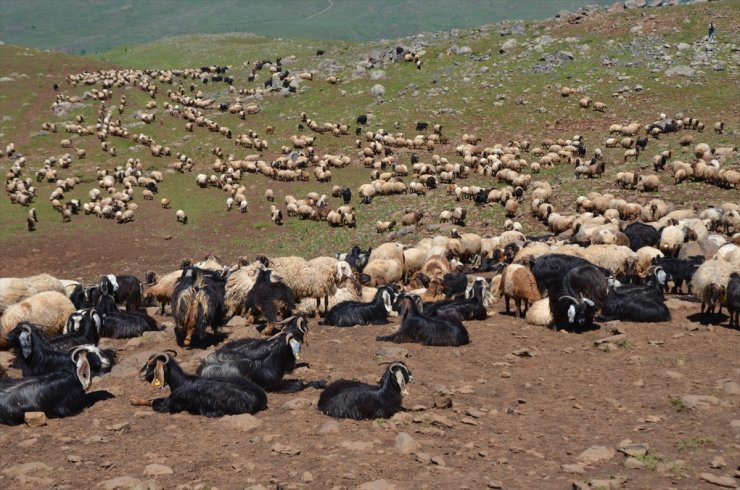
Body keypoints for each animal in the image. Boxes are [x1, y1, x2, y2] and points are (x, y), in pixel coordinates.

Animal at [137, 350, 268, 416]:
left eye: (152, 365)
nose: (144, 377)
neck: (181, 382)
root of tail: (262, 398)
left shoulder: (171, 404)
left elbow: (154, 403)